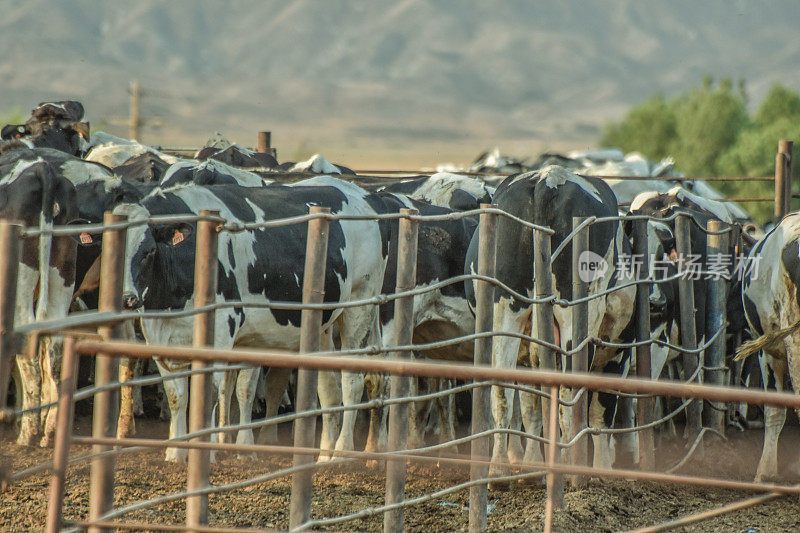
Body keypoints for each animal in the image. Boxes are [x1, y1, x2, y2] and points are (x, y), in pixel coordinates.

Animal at [113, 179, 388, 462]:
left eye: (148, 252)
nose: (128, 299)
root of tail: (366, 195)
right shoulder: (159, 335)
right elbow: (177, 396)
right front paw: (175, 454)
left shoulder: (222, 330)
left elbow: (213, 393)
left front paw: (207, 452)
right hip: (324, 323)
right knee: (329, 388)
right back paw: (323, 455)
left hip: (360, 305)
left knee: (352, 381)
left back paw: (343, 453)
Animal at [462, 163, 636, 482]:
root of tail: (549, 180)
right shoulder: (618, 349)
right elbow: (600, 412)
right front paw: (603, 471)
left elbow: (531, 405)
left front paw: (531, 465)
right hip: (575, 319)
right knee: (569, 395)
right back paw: (568, 470)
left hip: (506, 311)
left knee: (502, 391)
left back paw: (499, 471)